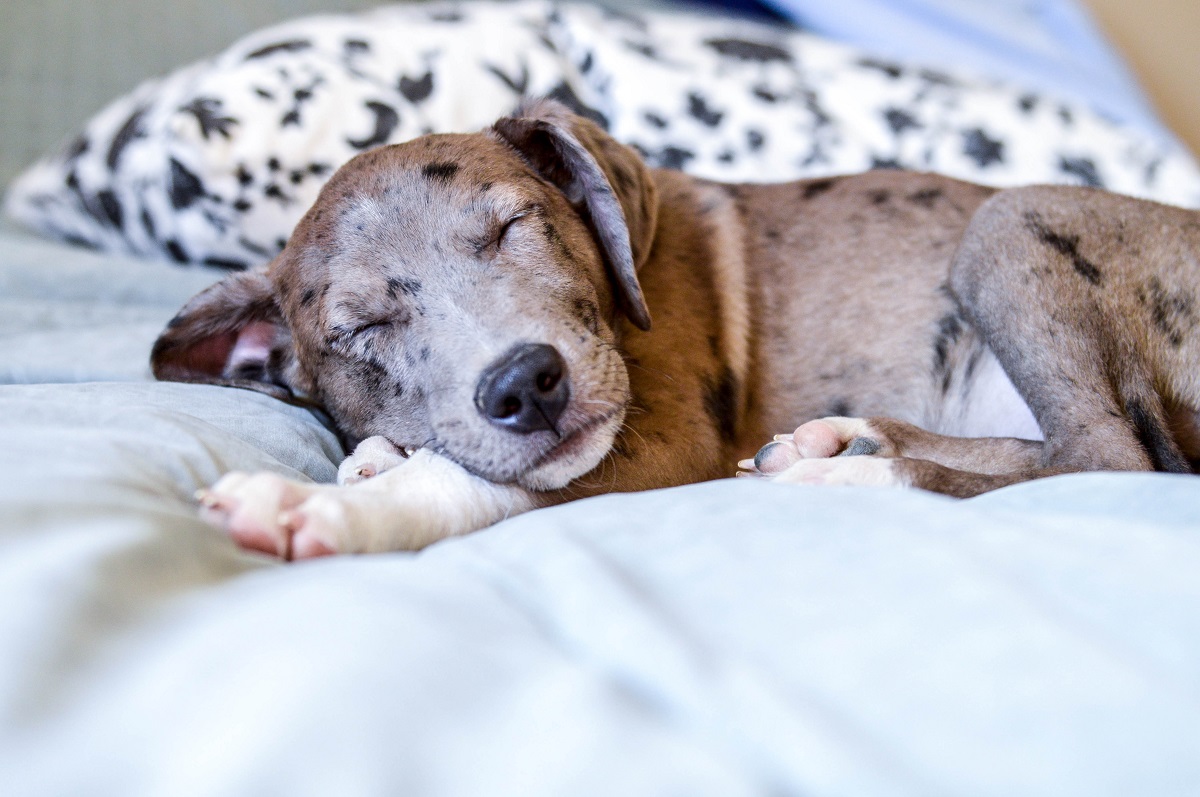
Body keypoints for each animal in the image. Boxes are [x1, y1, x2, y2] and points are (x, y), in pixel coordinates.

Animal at [150, 99, 1200, 556]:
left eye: (513, 225)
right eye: (361, 327)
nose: (525, 384)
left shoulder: (668, 440)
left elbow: (482, 481)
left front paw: (320, 506)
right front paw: (375, 458)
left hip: (1005, 222)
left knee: (1110, 456)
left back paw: (851, 471)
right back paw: (837, 442)